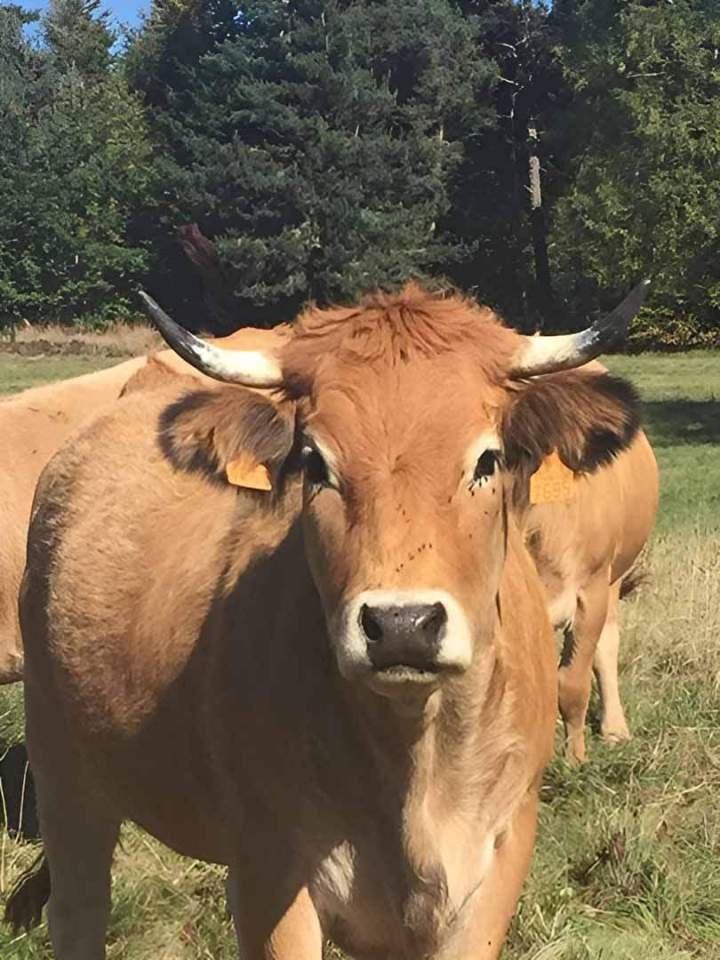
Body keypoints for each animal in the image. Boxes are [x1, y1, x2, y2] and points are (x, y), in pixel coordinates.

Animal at [8, 280, 647, 959]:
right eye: (315, 464)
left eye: (487, 461)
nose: (402, 623)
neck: (414, 764)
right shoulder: (270, 871)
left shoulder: (498, 860)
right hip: (62, 768)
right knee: (78, 909)